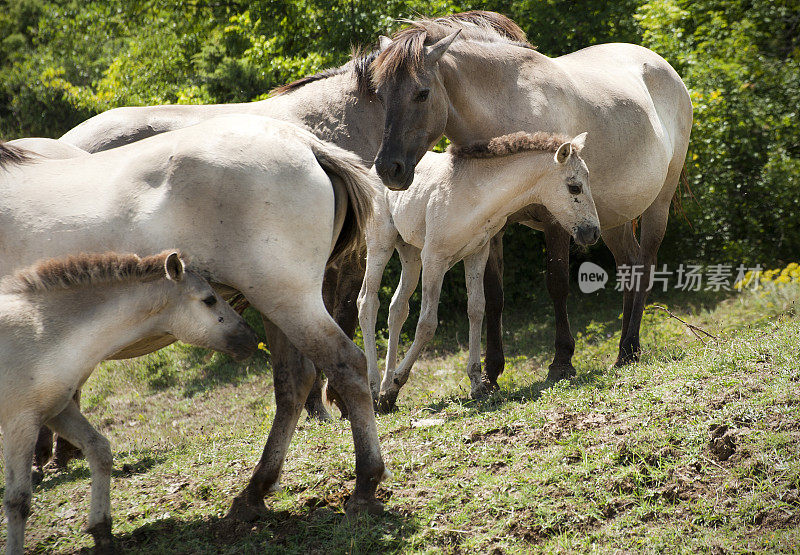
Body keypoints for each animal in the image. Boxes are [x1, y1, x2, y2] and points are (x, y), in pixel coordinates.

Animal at [0, 113, 388, 520]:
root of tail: (306, 143)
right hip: (277, 306)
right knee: (294, 382)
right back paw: (257, 489)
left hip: (290, 300)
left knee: (347, 366)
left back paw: (365, 482)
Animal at [0, 252, 256, 555]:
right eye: (209, 299)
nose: (251, 338)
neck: (41, 331)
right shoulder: (20, 421)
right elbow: (18, 500)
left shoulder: (56, 411)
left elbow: (100, 450)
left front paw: (102, 530)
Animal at [360, 132, 596, 412]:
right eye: (575, 187)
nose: (593, 232)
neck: (472, 193)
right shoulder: (435, 259)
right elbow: (427, 324)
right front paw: (398, 381)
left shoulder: (477, 254)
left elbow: (476, 310)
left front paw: (477, 383)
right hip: (381, 245)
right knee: (367, 302)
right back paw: (375, 387)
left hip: (410, 254)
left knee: (397, 308)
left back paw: (386, 391)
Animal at [372, 10, 692, 394]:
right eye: (379, 95)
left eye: (421, 93)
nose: (388, 169)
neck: (509, 105)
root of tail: (662, 66)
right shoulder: (493, 229)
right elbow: (492, 297)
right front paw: (491, 373)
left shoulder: (557, 220)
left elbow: (557, 283)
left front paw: (561, 363)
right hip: (611, 221)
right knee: (629, 265)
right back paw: (624, 351)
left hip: (657, 204)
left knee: (645, 265)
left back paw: (629, 348)